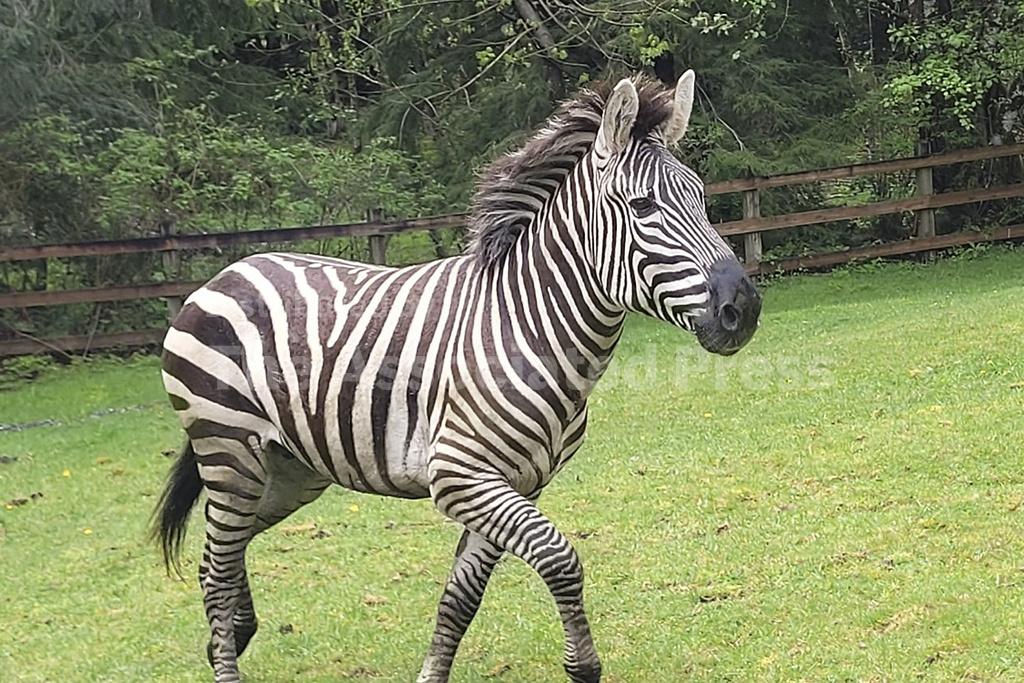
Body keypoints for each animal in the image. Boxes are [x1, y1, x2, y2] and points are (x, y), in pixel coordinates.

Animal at [153, 71, 761, 683]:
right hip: (230, 450)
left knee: (222, 552)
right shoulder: (459, 475)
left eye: (702, 198)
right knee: (216, 568)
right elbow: (559, 556)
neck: (527, 326)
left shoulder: (517, 482)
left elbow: (460, 598)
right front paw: (583, 665)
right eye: (643, 206)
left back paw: (235, 633)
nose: (745, 308)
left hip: (289, 469)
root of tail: (228, 272)